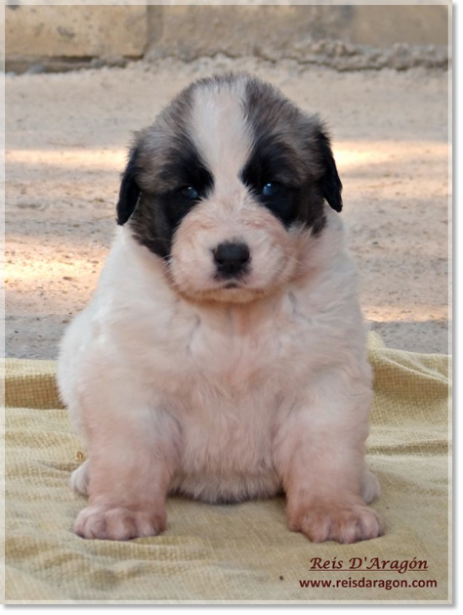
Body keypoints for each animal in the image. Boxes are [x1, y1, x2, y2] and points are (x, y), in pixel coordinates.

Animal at [58, 73, 382, 544]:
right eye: (188, 191)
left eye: (270, 187)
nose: (231, 255)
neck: (234, 319)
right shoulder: (128, 381)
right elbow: (128, 454)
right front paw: (121, 509)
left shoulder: (324, 381)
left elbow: (326, 453)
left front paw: (335, 509)